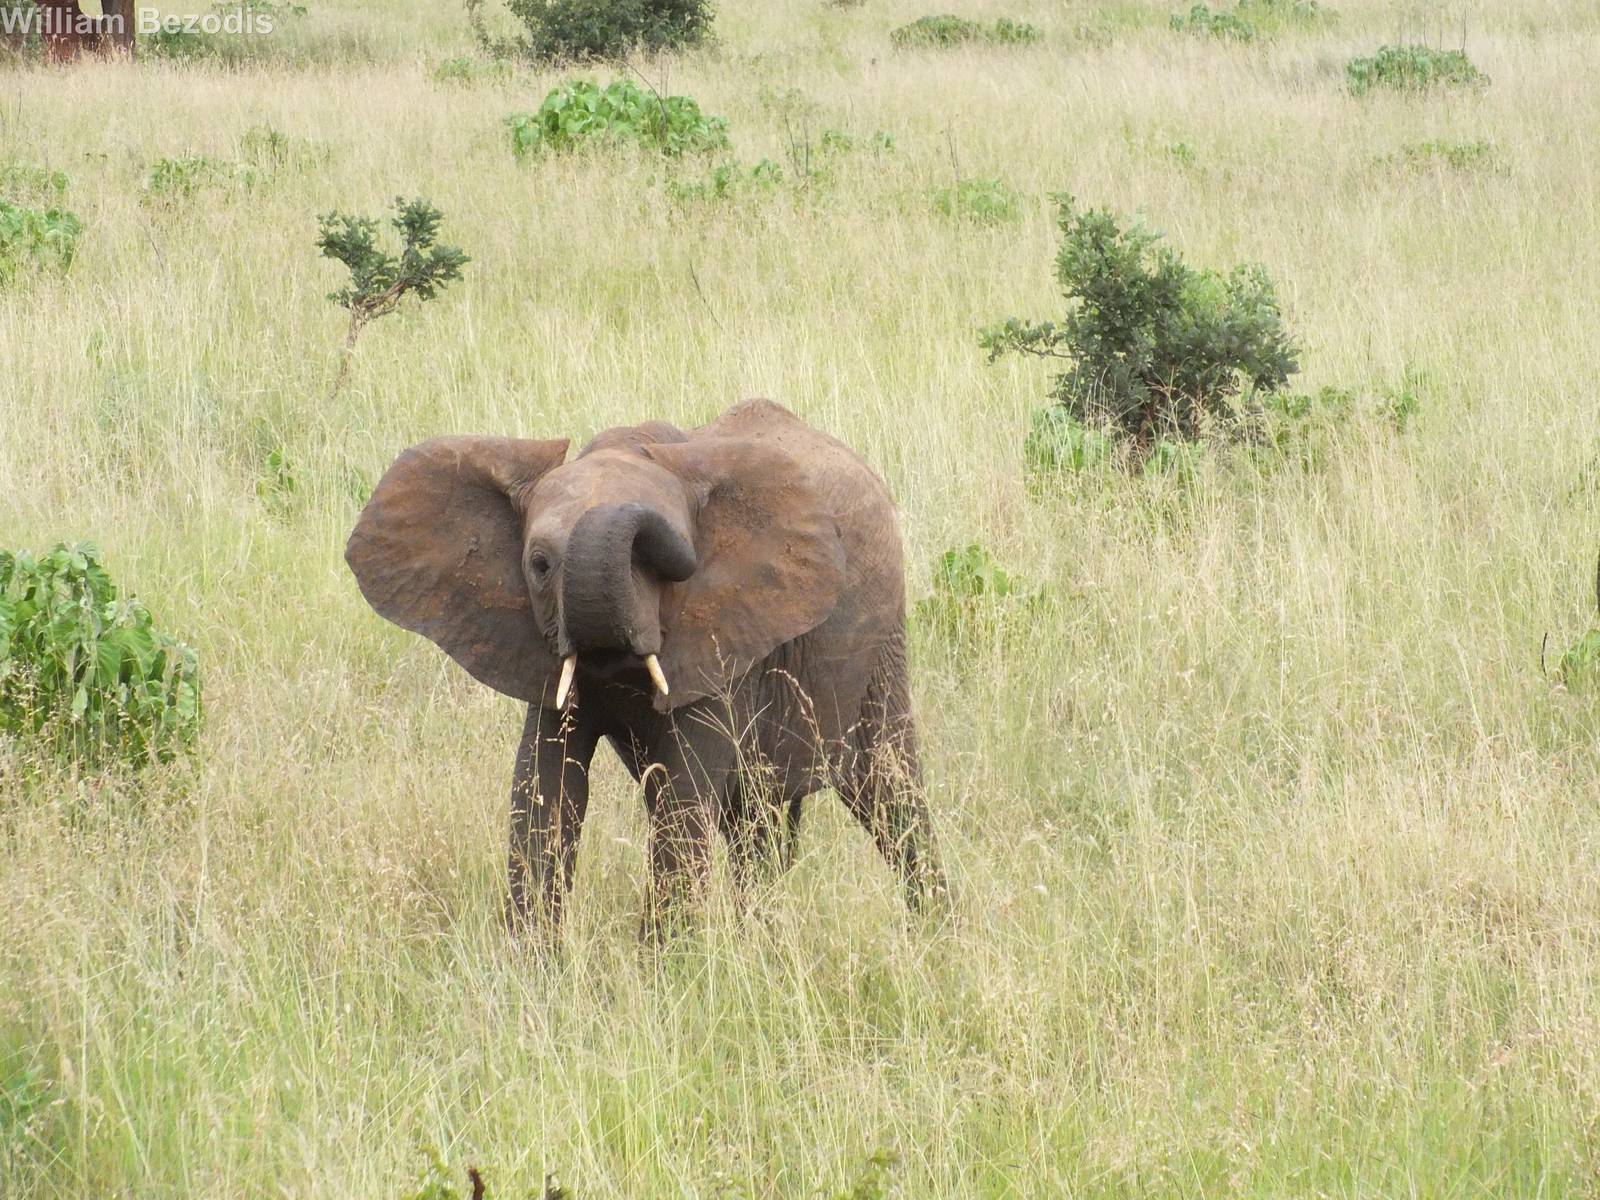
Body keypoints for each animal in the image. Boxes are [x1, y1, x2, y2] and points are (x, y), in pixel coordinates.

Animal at [346, 398, 946, 935]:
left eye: (666, 563)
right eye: (539, 565)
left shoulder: (724, 646)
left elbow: (681, 798)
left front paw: (665, 975)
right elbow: (543, 790)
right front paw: (532, 975)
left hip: (882, 646)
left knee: (892, 799)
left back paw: (936, 937)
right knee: (760, 823)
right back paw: (764, 946)